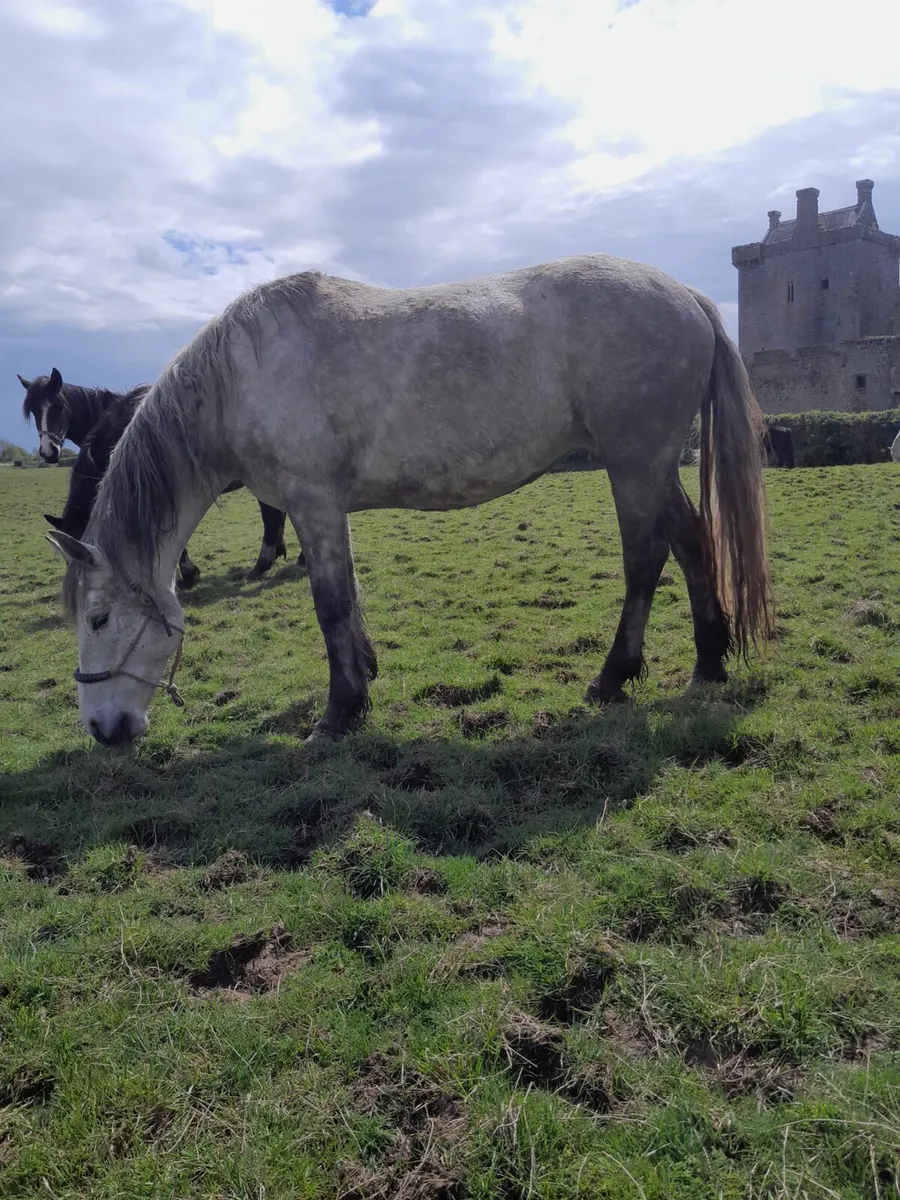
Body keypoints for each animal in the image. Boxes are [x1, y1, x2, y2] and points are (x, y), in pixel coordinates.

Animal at [19, 370, 302, 585]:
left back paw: (264, 564)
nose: (48, 452)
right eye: (33, 411)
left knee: (273, 515)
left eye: (58, 407)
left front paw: (187, 574)